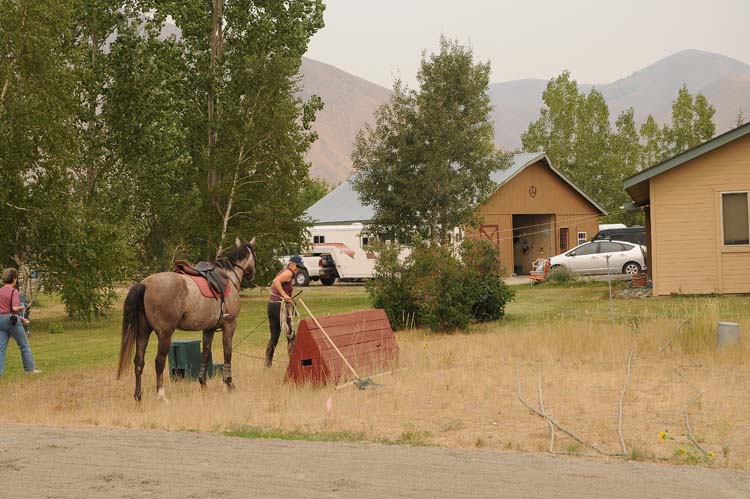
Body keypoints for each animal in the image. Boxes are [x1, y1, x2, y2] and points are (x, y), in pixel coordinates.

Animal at [116, 237, 258, 402]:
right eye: (254, 255)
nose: (252, 274)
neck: (228, 276)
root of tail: (145, 284)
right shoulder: (230, 325)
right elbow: (227, 354)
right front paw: (228, 384)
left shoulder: (209, 329)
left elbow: (205, 355)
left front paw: (203, 384)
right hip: (164, 335)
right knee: (159, 362)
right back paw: (161, 395)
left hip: (143, 332)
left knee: (139, 362)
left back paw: (138, 397)